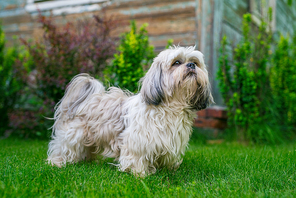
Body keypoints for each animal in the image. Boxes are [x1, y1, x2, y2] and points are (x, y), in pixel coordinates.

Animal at [46, 46, 213, 176]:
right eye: (176, 62)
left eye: (195, 62)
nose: (191, 65)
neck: (171, 107)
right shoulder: (138, 141)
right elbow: (137, 158)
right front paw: (140, 174)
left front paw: (168, 170)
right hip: (74, 135)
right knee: (62, 148)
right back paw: (58, 163)